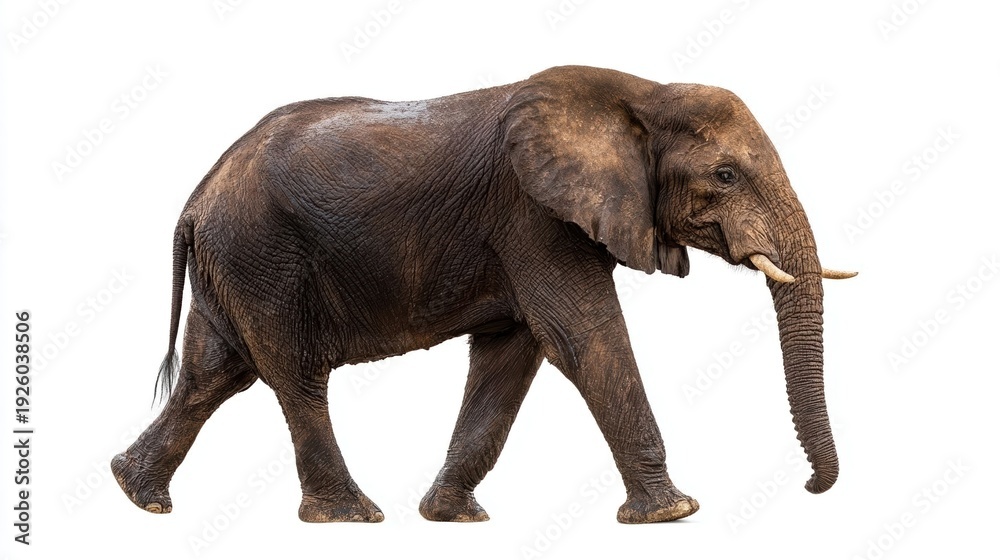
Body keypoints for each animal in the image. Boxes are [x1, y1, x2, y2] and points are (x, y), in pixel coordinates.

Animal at [112, 65, 855, 524]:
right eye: (725, 175)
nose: (812, 487)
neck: (641, 92)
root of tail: (196, 198)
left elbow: (510, 355)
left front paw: (453, 517)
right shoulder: (530, 214)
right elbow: (585, 338)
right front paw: (674, 514)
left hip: (235, 263)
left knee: (213, 374)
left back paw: (137, 495)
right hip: (262, 254)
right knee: (292, 374)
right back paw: (352, 517)